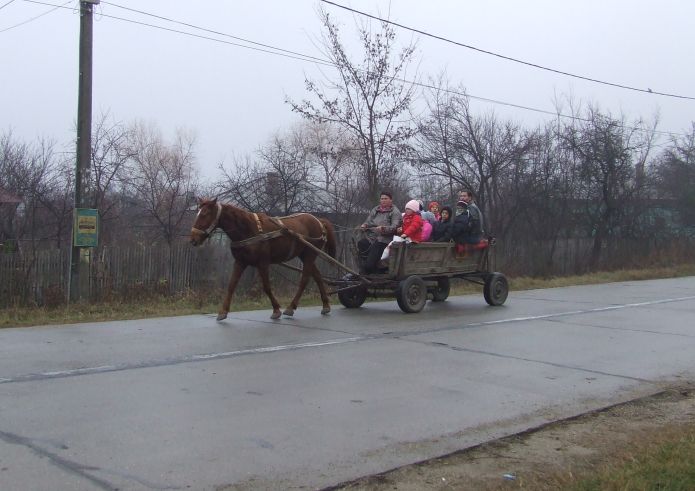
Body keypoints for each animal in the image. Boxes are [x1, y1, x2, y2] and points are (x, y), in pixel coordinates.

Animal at [190, 199, 338, 322]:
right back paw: (325, 305)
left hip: (310, 254)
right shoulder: (240, 262)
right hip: (305, 254)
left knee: (305, 279)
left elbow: (266, 287)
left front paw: (276, 309)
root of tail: (319, 221)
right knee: (317, 276)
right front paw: (223, 312)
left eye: (204, 214)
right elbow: (231, 285)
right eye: (197, 214)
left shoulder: (263, 263)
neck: (248, 229)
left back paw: (291, 307)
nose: (193, 239)